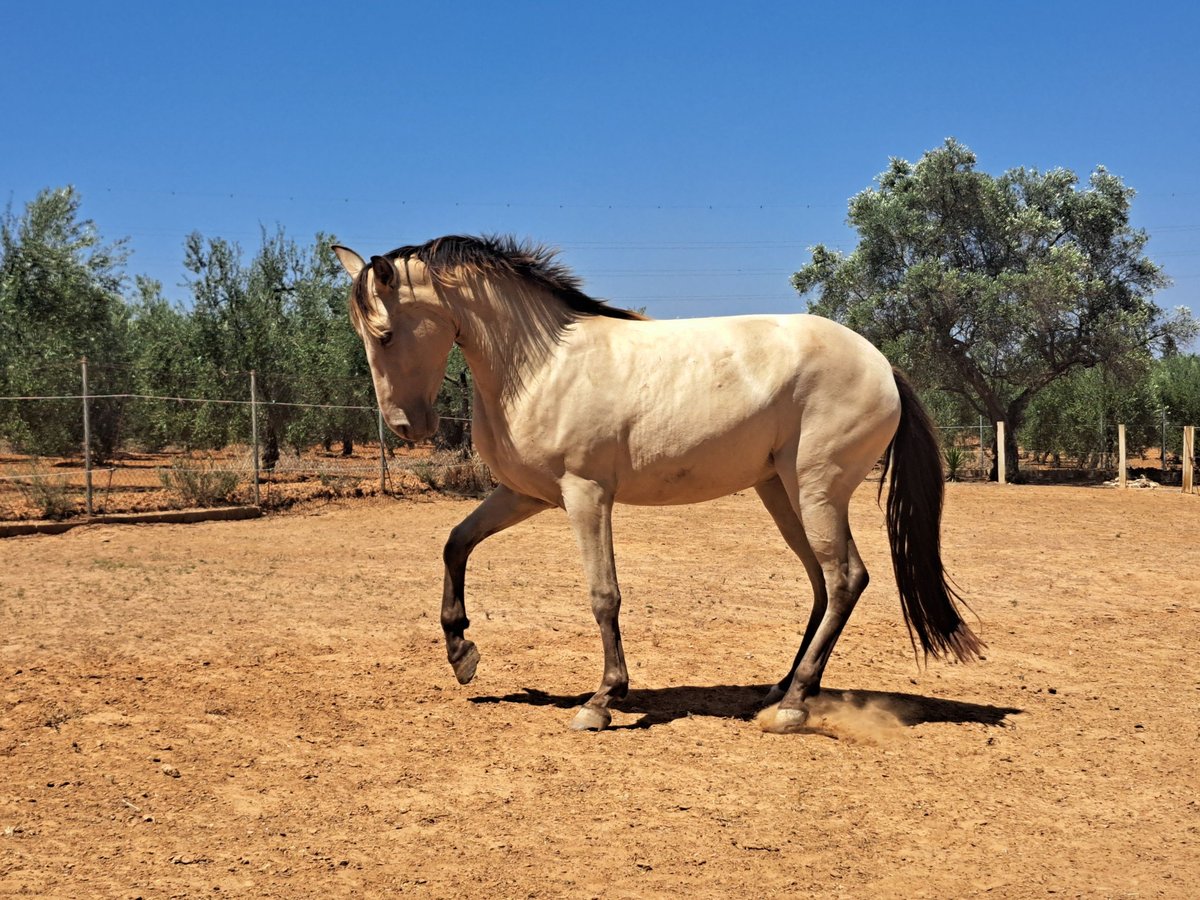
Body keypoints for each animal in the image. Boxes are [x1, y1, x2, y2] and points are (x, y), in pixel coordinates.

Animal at [331, 237, 984, 734]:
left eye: (384, 334)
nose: (406, 427)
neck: (540, 365)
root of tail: (883, 365)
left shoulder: (585, 494)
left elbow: (604, 594)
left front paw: (602, 701)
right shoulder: (528, 495)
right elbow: (456, 542)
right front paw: (462, 653)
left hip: (816, 488)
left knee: (845, 577)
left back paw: (793, 706)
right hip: (781, 492)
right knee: (824, 583)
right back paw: (778, 691)